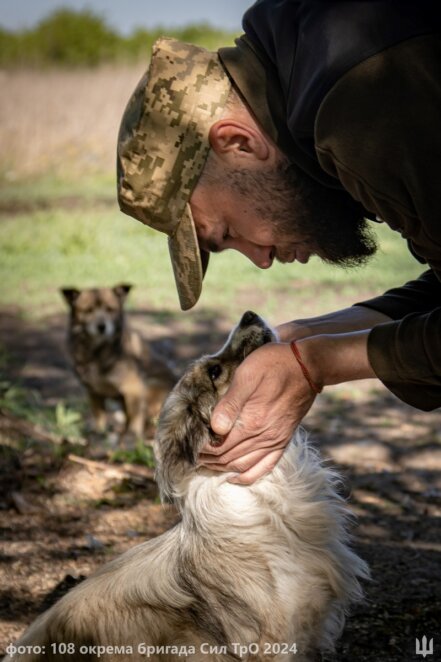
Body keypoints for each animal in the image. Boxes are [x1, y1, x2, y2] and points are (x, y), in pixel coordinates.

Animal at [60, 282, 177, 438]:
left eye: (110, 309)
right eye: (88, 311)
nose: (101, 327)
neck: (97, 352)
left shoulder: (134, 387)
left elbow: (135, 416)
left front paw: (133, 434)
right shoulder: (92, 390)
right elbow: (98, 413)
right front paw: (99, 431)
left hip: (151, 385)